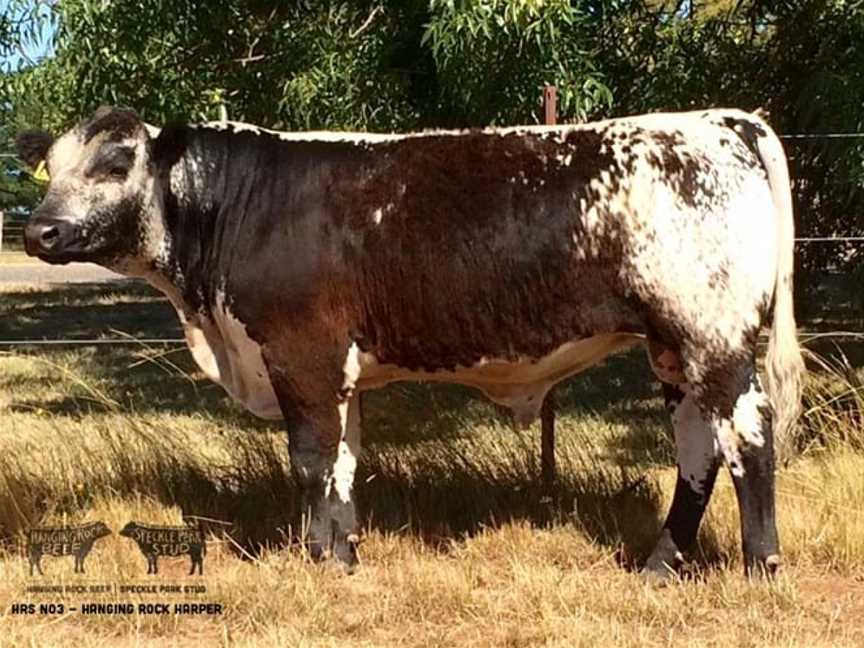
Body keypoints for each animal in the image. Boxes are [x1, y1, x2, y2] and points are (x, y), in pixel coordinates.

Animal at [16, 104, 808, 580]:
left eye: (116, 162)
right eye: (50, 166)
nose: (39, 231)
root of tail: (721, 121)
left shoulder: (300, 354)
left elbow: (310, 460)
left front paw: (319, 561)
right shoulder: (339, 370)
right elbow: (343, 461)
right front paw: (345, 553)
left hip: (714, 339)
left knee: (748, 439)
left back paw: (760, 568)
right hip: (674, 349)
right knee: (697, 450)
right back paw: (660, 565)